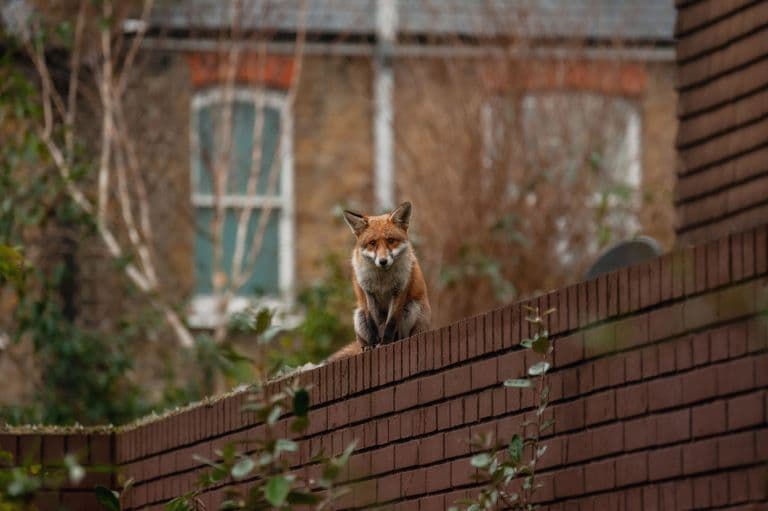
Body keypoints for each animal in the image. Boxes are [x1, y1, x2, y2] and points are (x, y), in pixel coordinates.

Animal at [328, 202, 431, 361]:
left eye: (390, 240)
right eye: (372, 243)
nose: (383, 261)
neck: (382, 280)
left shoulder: (399, 290)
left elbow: (391, 323)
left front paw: (386, 343)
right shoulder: (368, 293)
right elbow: (372, 324)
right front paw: (372, 345)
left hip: (411, 308)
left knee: (401, 334)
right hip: (358, 316)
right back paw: (367, 346)